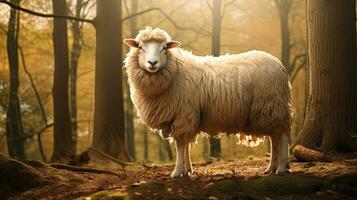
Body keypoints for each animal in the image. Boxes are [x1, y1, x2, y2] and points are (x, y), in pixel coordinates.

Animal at [122, 27, 292, 178]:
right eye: (140, 47)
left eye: (164, 48)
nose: (152, 63)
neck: (175, 71)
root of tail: (280, 66)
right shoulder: (187, 117)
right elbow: (186, 145)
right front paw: (187, 170)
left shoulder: (183, 114)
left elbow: (180, 145)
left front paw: (177, 172)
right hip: (269, 109)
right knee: (274, 137)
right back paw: (271, 168)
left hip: (272, 105)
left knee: (282, 135)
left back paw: (281, 168)